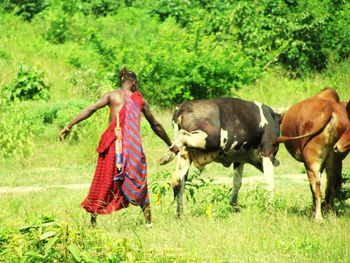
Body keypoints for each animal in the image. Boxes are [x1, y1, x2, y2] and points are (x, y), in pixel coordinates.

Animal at [276, 89, 350, 223]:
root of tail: (329, 111)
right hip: (334, 161)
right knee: (331, 186)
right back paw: (328, 214)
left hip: (312, 162)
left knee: (316, 187)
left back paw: (318, 217)